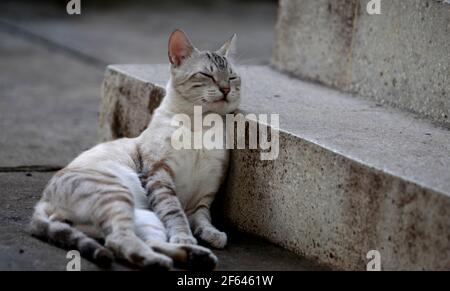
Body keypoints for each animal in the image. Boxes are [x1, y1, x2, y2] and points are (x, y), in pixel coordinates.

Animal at [28, 29, 241, 272]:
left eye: (232, 78)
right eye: (207, 75)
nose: (226, 89)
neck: (200, 125)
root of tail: (43, 200)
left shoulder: (202, 199)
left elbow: (203, 219)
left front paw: (212, 234)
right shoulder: (159, 176)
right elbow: (175, 213)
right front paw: (184, 234)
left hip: (146, 218)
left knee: (143, 242)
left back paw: (195, 257)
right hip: (117, 195)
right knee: (119, 241)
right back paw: (162, 261)